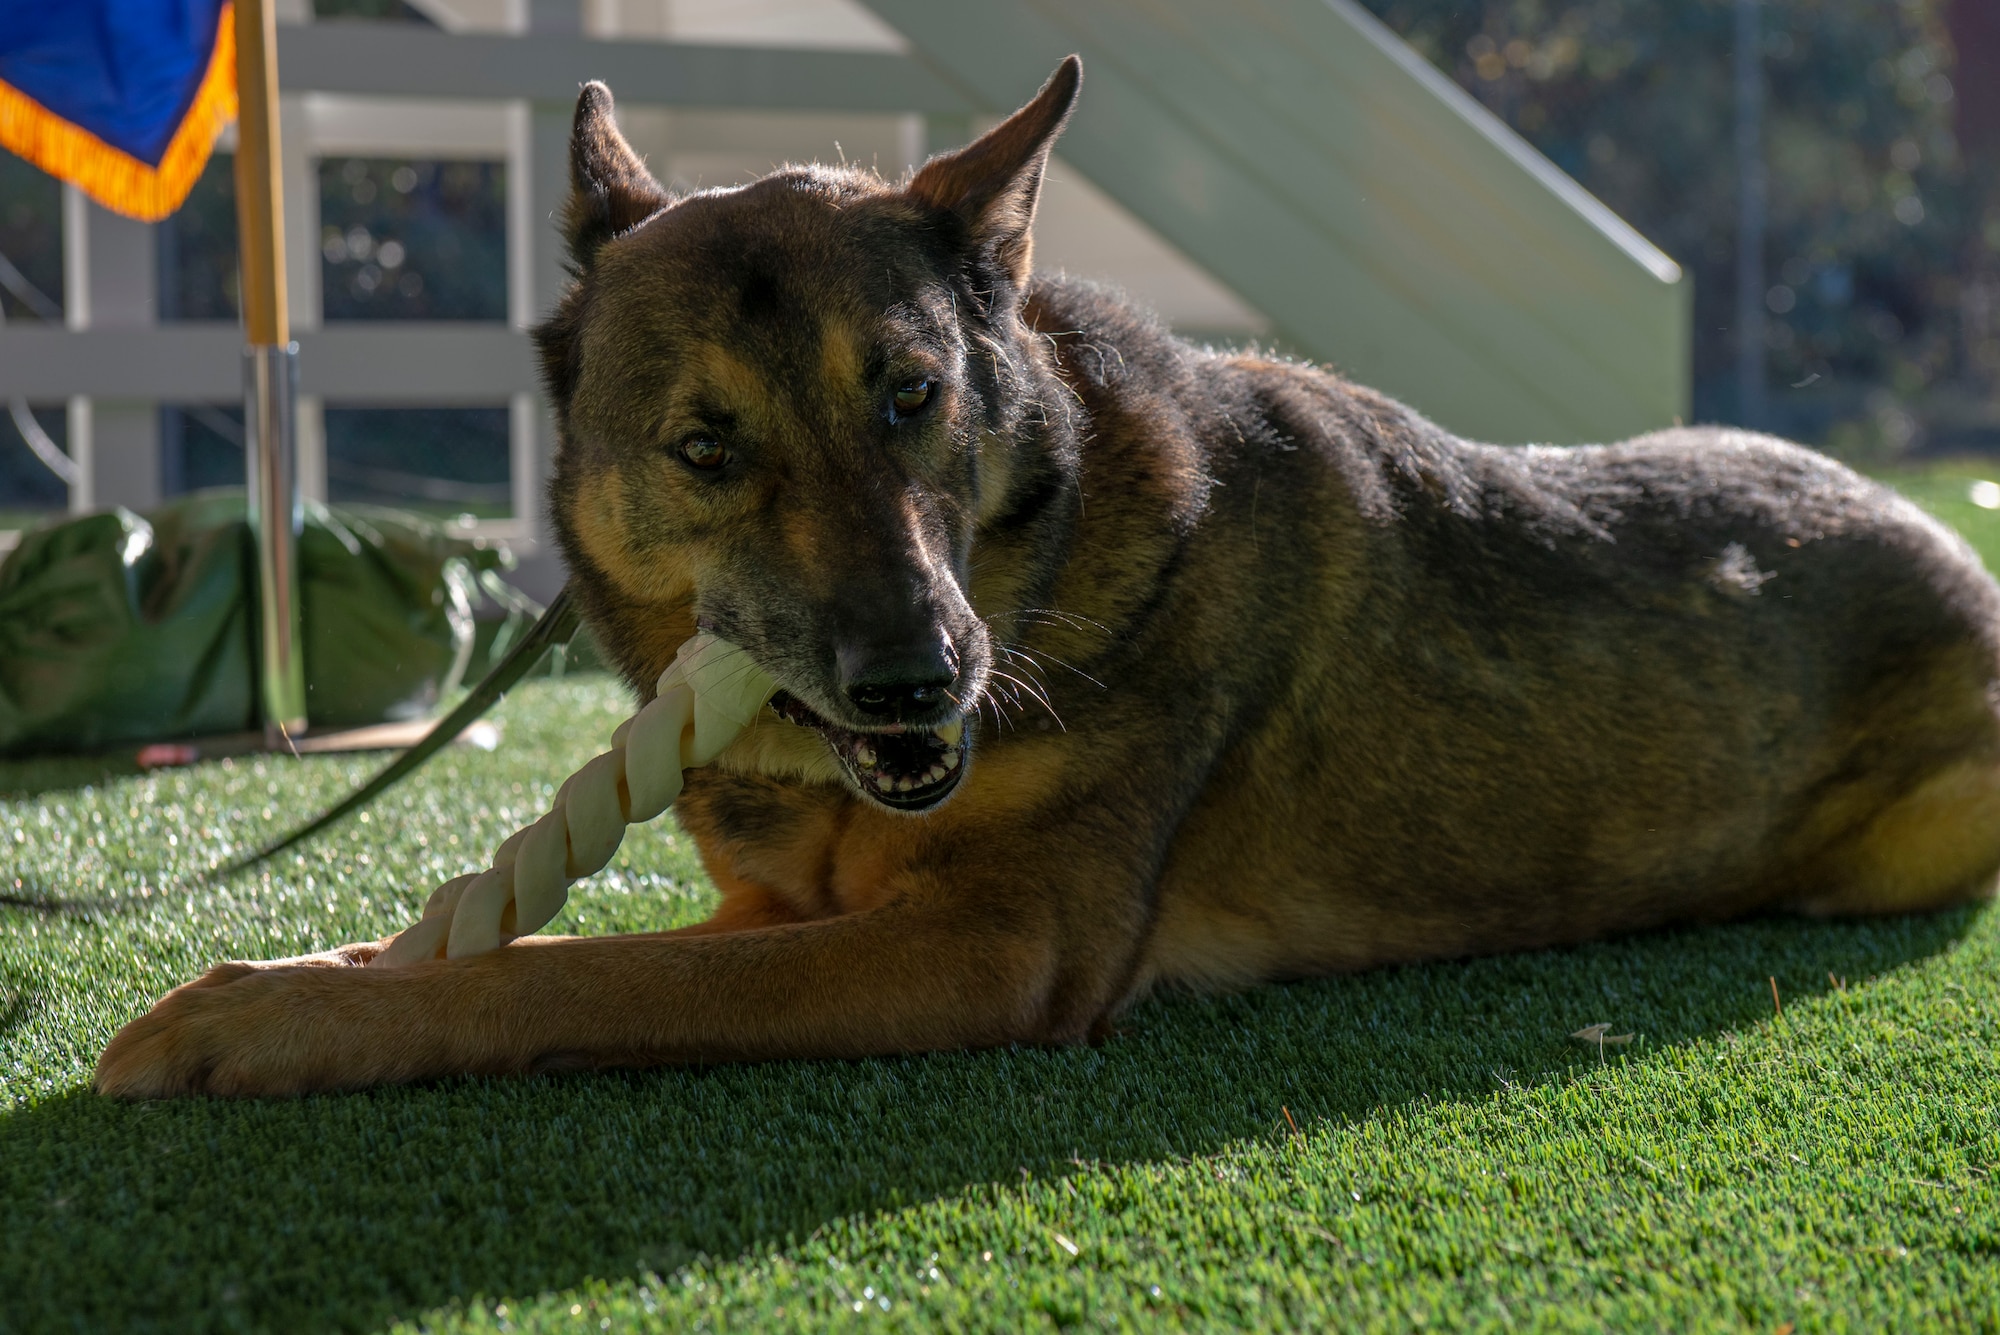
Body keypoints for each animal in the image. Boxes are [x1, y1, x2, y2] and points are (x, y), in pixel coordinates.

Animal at [97, 57, 2000, 1095]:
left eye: (911, 394)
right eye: (708, 447)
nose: (920, 681)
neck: (1057, 550)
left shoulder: (986, 944)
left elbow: (569, 980)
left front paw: (265, 1021)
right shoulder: (794, 906)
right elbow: (509, 945)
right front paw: (298, 978)